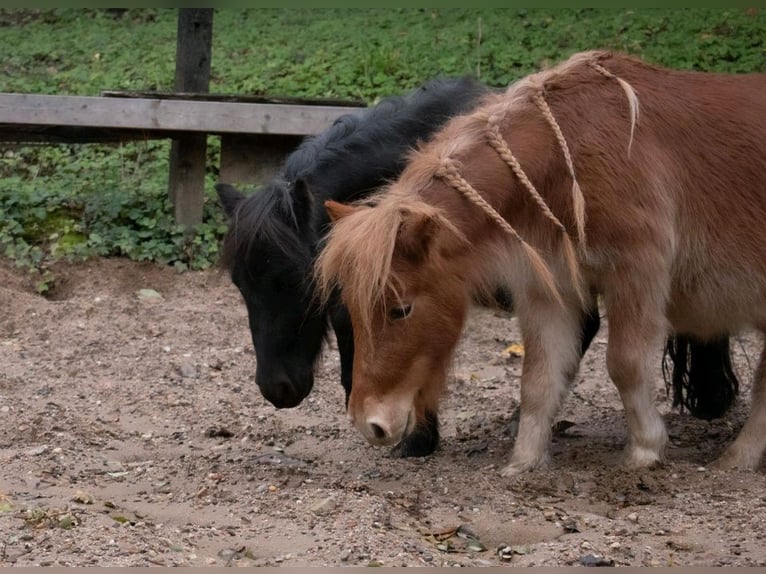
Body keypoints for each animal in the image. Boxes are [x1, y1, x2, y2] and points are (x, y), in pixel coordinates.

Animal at [318, 51, 766, 476]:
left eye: (401, 310)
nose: (370, 425)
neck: (571, 155)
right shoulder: (550, 288)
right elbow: (538, 378)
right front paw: (524, 461)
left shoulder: (634, 274)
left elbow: (625, 364)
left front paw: (645, 449)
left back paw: (736, 458)